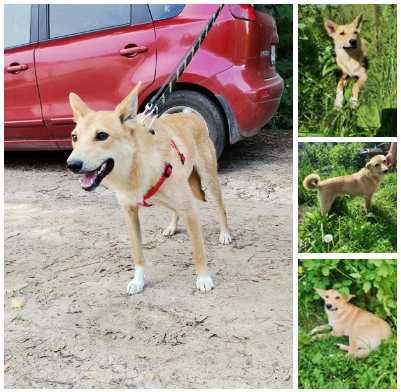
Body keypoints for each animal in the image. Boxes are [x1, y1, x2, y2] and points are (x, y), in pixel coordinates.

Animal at [64, 82, 230, 294]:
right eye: (74, 137)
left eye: (102, 136)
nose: (72, 164)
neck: (136, 169)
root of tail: (189, 115)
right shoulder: (130, 214)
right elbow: (138, 255)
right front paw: (138, 281)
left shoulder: (189, 210)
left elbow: (198, 251)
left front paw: (204, 278)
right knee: (175, 211)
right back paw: (172, 227)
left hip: (209, 180)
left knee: (221, 208)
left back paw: (225, 234)